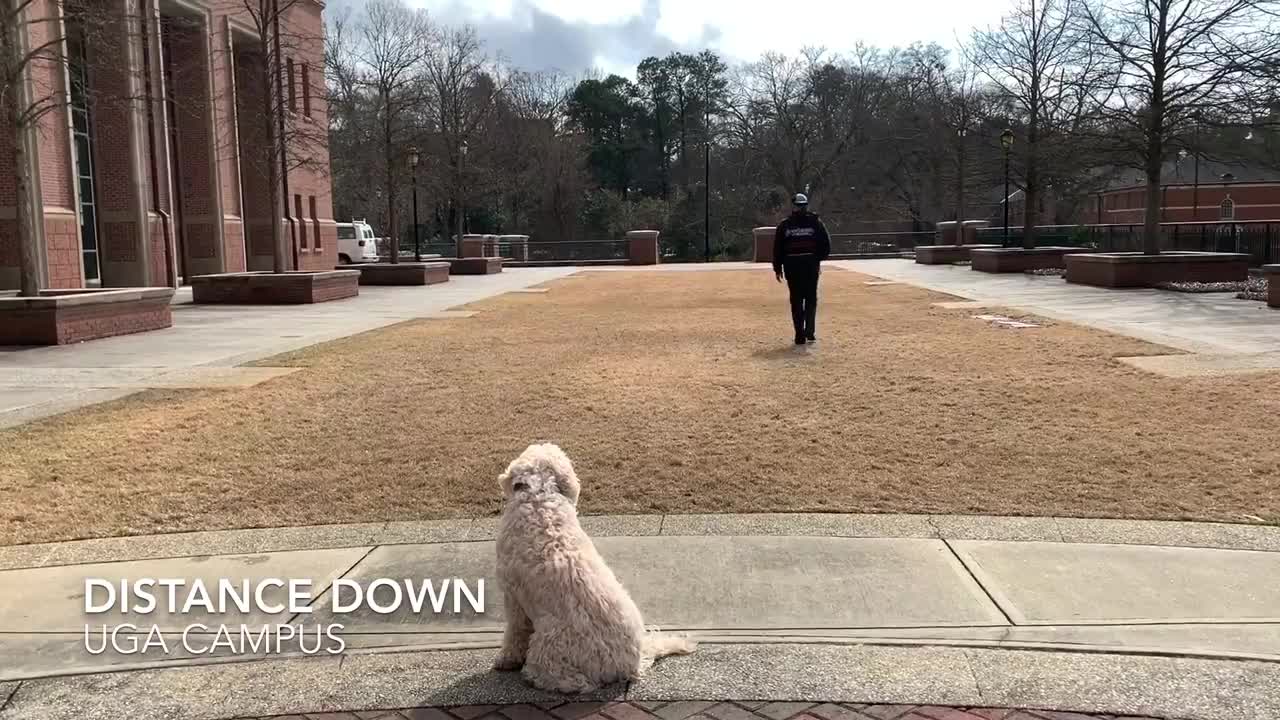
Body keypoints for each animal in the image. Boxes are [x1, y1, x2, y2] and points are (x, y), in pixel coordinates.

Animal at [491, 440, 696, 691]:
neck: (539, 496)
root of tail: (632, 662)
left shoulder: (513, 597)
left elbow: (514, 632)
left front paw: (506, 658)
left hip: (549, 640)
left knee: (570, 679)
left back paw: (537, 676)